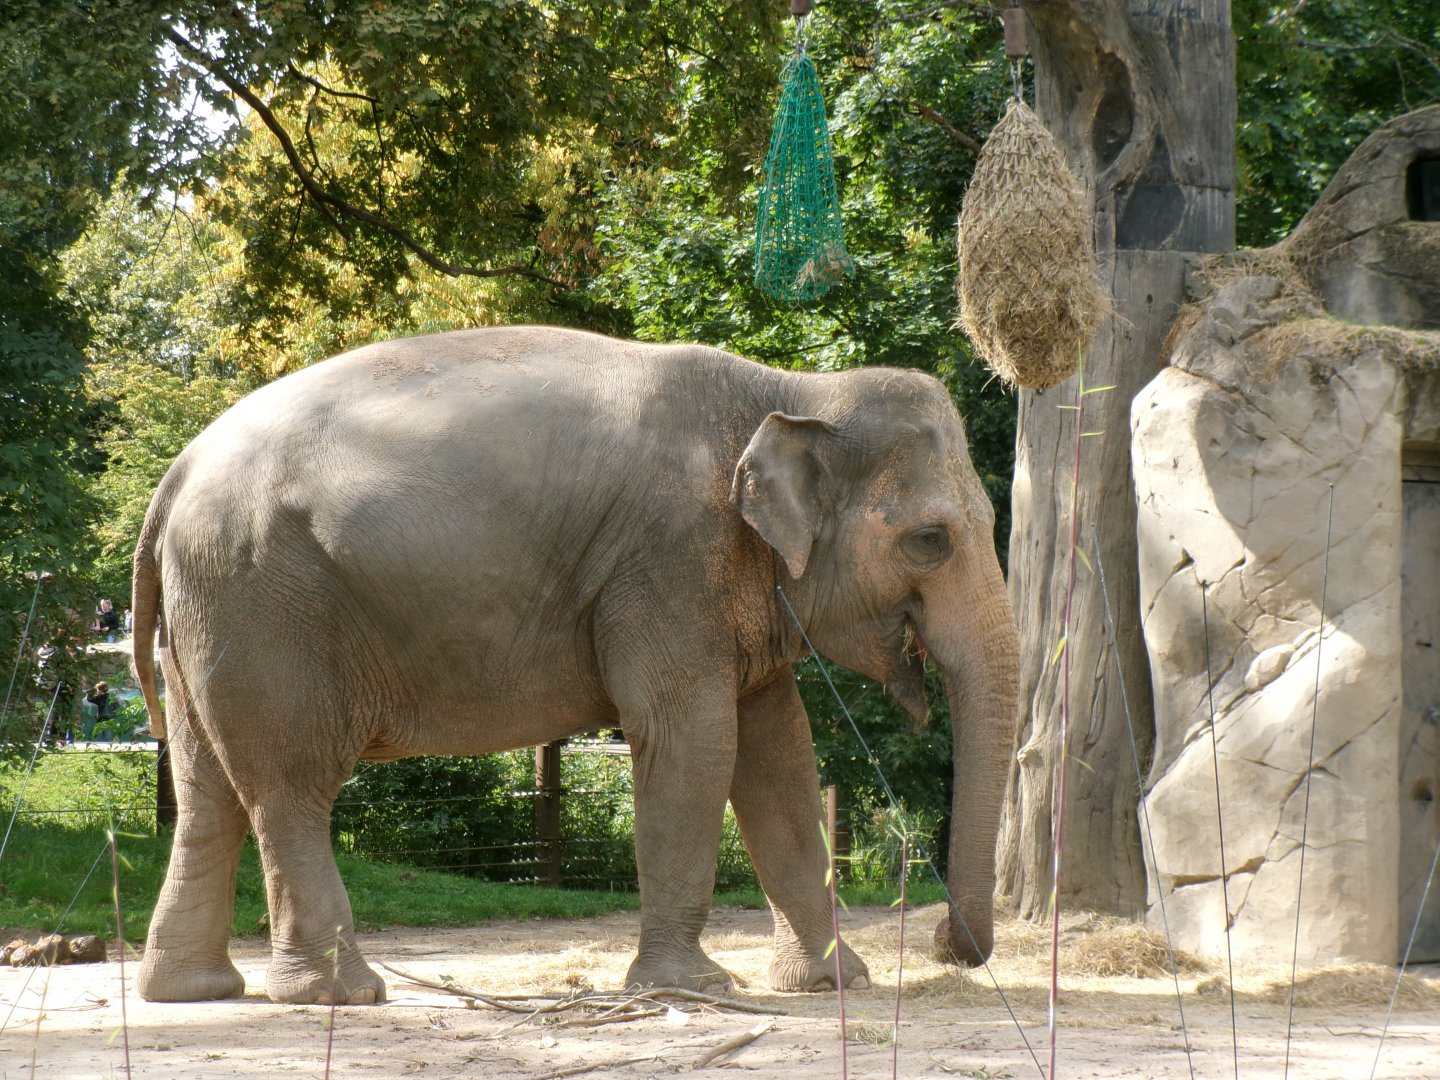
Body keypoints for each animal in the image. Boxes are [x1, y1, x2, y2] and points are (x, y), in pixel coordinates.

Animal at [131, 325, 1020, 1005]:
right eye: (931, 540)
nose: (947, 943)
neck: (793, 390)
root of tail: (174, 475)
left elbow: (781, 759)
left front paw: (839, 982)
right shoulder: (666, 559)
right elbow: (694, 742)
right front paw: (695, 988)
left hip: (209, 614)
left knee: (211, 791)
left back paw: (195, 993)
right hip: (265, 605)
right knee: (289, 787)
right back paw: (341, 995)